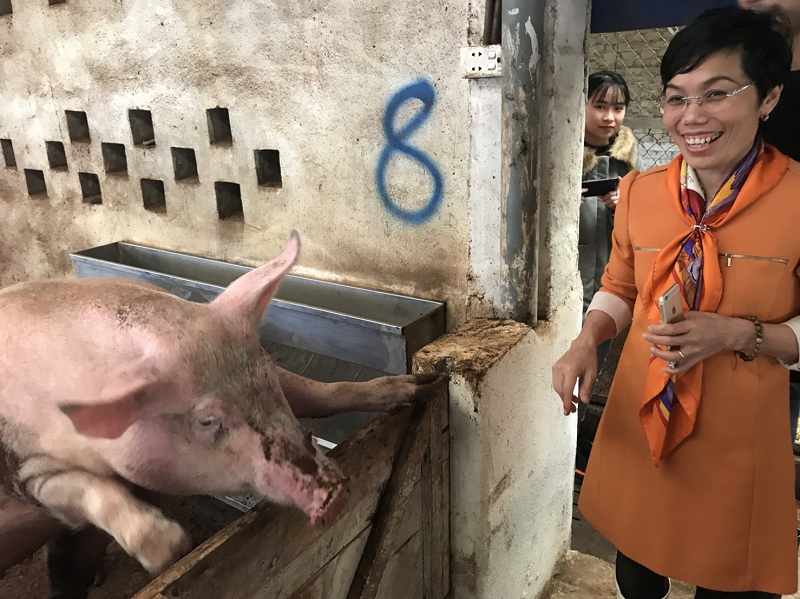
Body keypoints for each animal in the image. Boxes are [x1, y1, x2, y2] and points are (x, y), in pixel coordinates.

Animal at [0, 230, 444, 580]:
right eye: (207, 420)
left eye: (266, 376)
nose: (333, 493)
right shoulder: (27, 470)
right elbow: (92, 491)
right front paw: (173, 549)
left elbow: (321, 393)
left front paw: (418, 386)